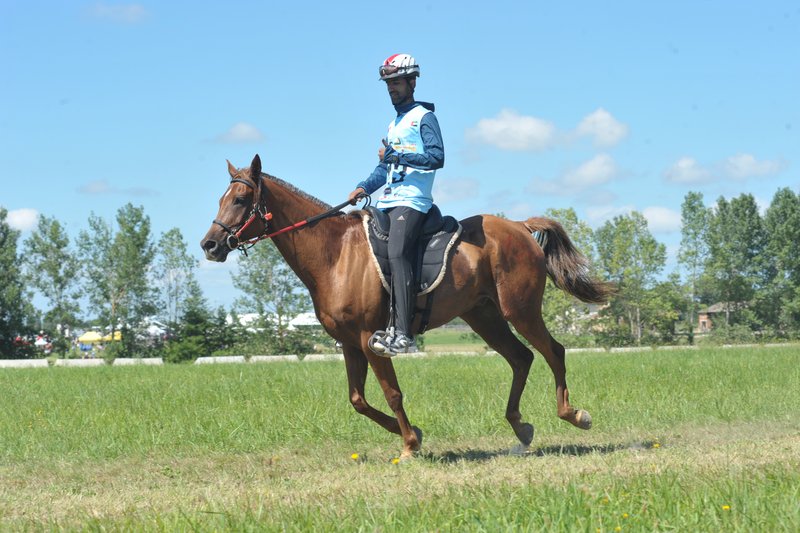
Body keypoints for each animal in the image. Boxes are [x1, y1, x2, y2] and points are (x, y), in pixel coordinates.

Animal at [202, 154, 612, 458]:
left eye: (240, 200)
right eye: (220, 200)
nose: (210, 245)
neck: (335, 255)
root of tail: (521, 227)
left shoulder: (370, 339)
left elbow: (391, 393)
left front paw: (410, 444)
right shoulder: (349, 344)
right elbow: (358, 400)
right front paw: (414, 431)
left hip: (521, 310)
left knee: (553, 351)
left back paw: (574, 414)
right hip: (483, 315)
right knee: (521, 358)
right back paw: (521, 427)